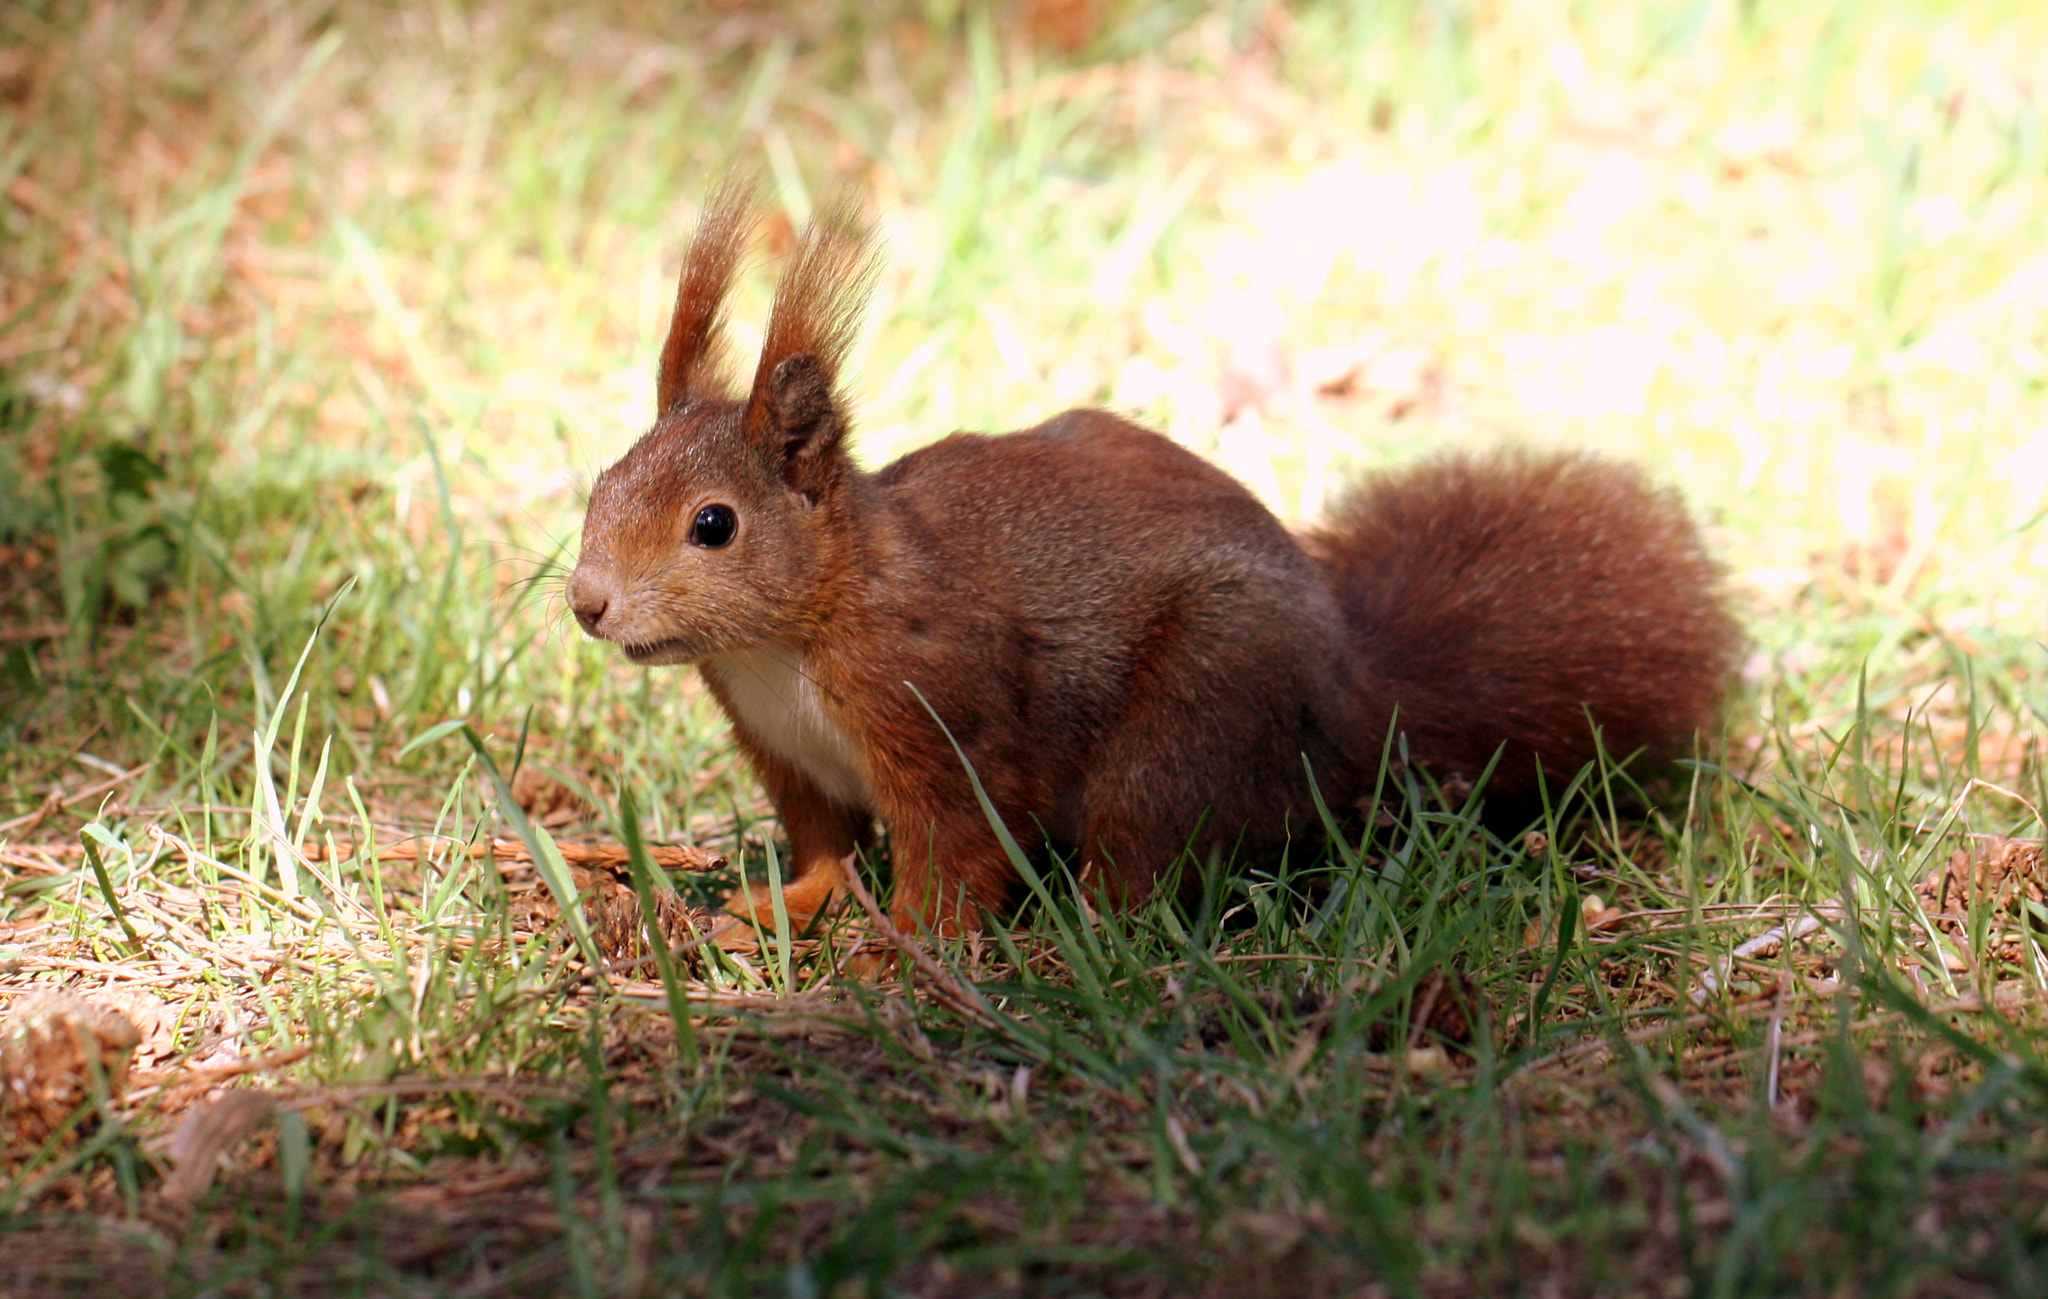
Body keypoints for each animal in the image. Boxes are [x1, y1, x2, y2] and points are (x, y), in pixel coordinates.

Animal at [566, 177, 1743, 941]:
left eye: (713, 525)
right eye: (602, 480)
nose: (586, 604)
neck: (792, 634)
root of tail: (1356, 699)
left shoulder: (943, 712)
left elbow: (956, 851)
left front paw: (901, 955)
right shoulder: (785, 752)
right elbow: (824, 847)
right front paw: (775, 910)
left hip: (1190, 721)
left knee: (1144, 853)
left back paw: (1083, 931)